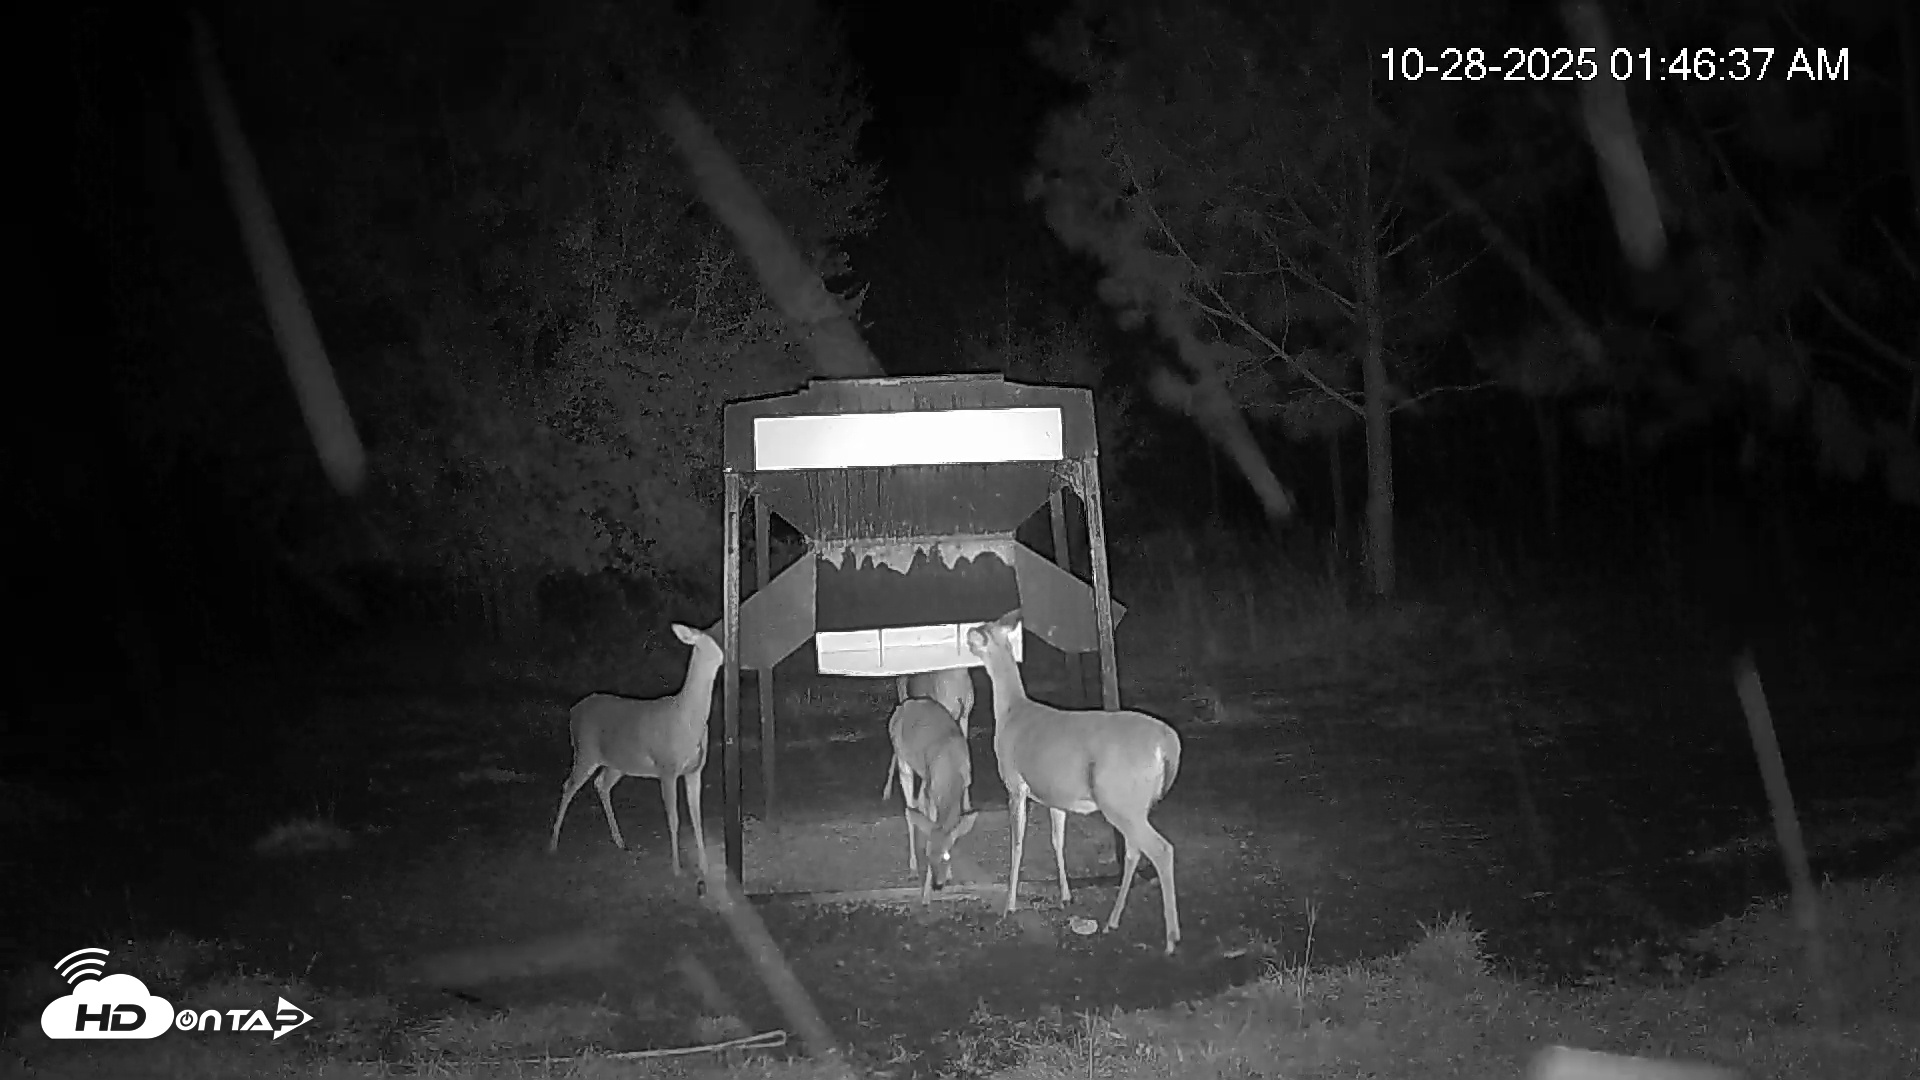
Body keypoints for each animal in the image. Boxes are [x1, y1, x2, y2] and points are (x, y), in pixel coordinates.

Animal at [547, 622, 722, 888]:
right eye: (709, 638)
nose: (725, 654)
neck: (687, 720)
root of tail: (572, 711)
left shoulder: (695, 770)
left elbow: (697, 816)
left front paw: (704, 867)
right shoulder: (666, 767)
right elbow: (674, 818)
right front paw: (677, 869)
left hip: (616, 762)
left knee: (601, 784)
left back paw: (620, 841)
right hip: (585, 750)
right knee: (568, 785)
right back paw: (553, 843)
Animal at [881, 698, 979, 903]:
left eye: (947, 856)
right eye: (928, 855)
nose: (937, 884)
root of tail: (903, 706)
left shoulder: (962, 786)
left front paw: (949, 874)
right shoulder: (933, 794)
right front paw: (925, 895)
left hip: (923, 775)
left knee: (917, 805)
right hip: (904, 762)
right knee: (909, 809)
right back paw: (912, 867)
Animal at [966, 609, 1183, 955]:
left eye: (981, 632)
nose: (967, 636)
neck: (1012, 711)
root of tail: (1168, 742)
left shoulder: (1014, 783)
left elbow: (1017, 843)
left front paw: (1009, 905)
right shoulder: (1056, 795)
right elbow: (1057, 839)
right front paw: (1066, 896)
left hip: (1119, 798)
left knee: (1161, 849)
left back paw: (1171, 939)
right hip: (1132, 804)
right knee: (1135, 850)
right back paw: (1112, 921)